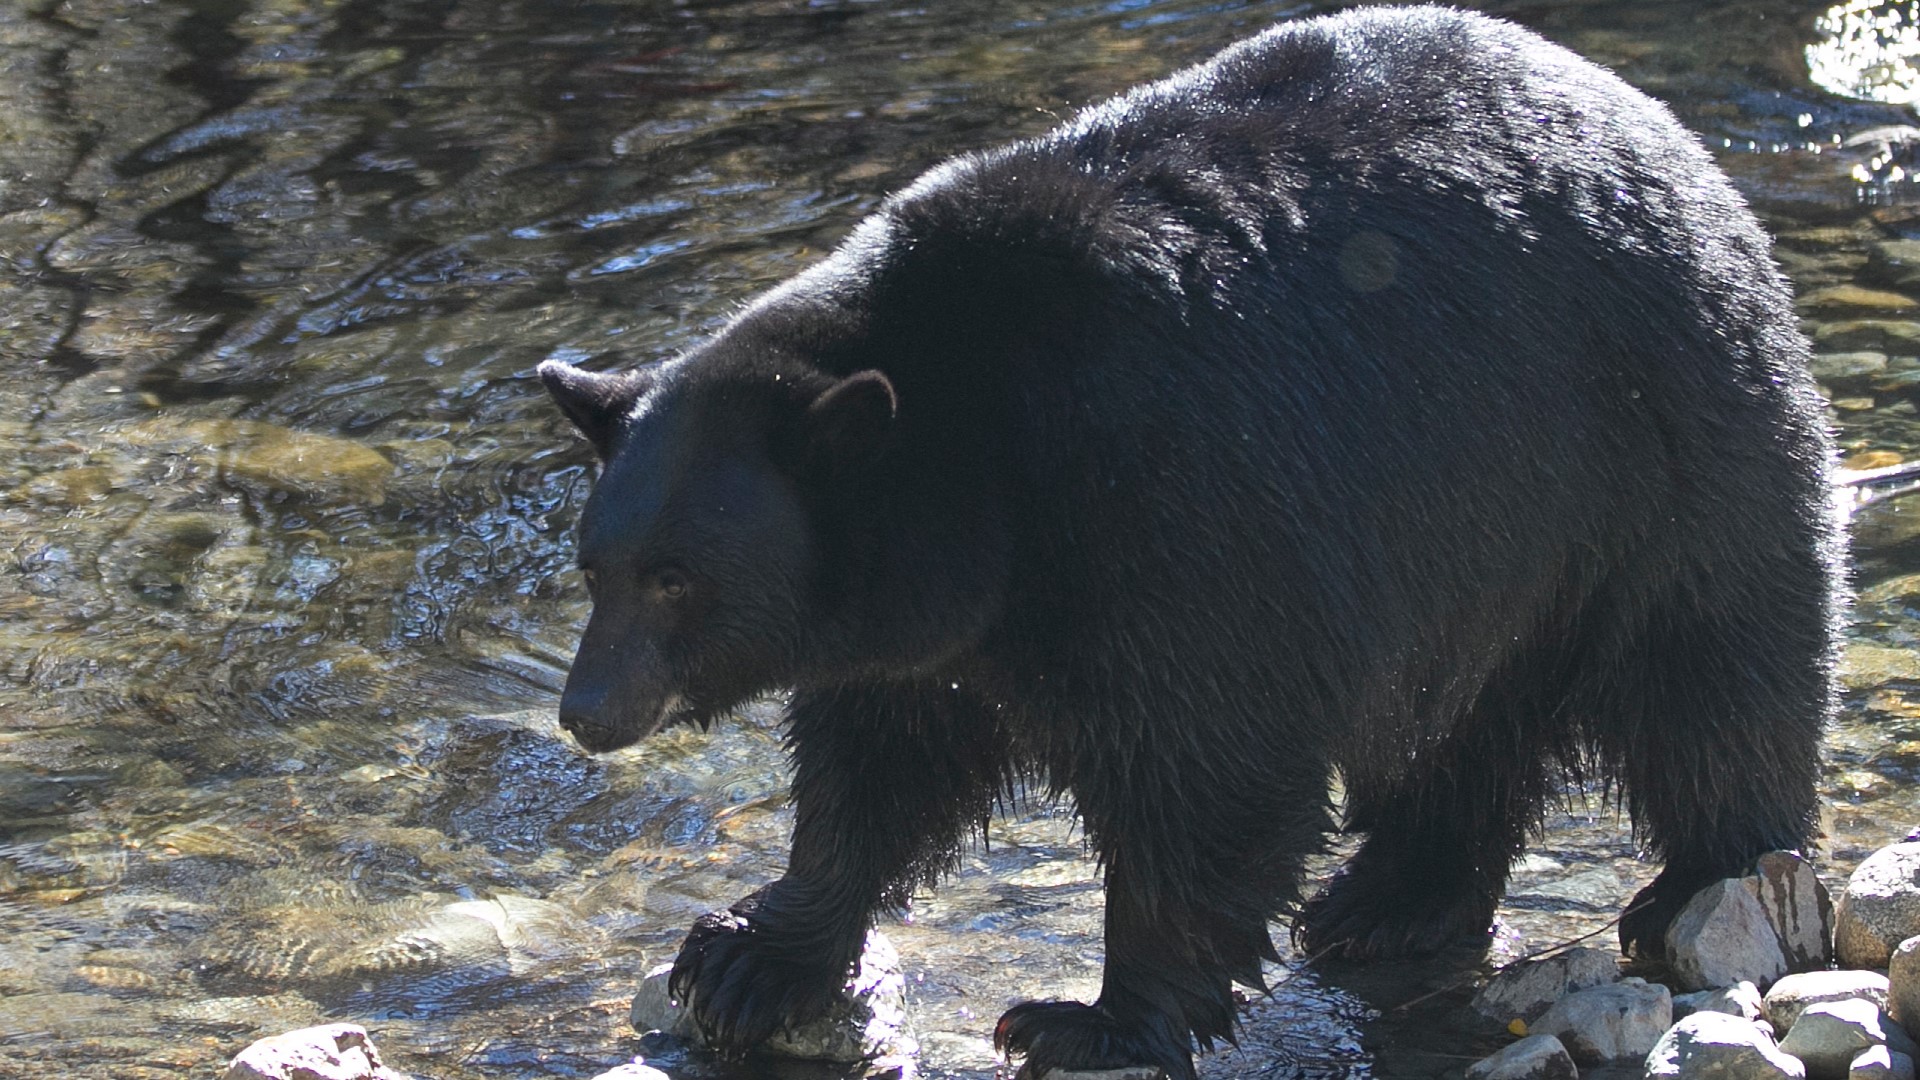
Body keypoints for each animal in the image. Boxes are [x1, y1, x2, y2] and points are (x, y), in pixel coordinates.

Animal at [533, 8, 1835, 1076]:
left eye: (677, 578)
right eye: (596, 567)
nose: (586, 713)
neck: (987, 456)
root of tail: (1671, 138)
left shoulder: (1181, 506)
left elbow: (1209, 773)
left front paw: (1094, 1020)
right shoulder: (929, 622)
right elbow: (876, 764)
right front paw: (751, 955)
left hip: (1658, 449)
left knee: (1708, 676)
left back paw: (1698, 887)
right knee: (1465, 725)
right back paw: (1389, 899)